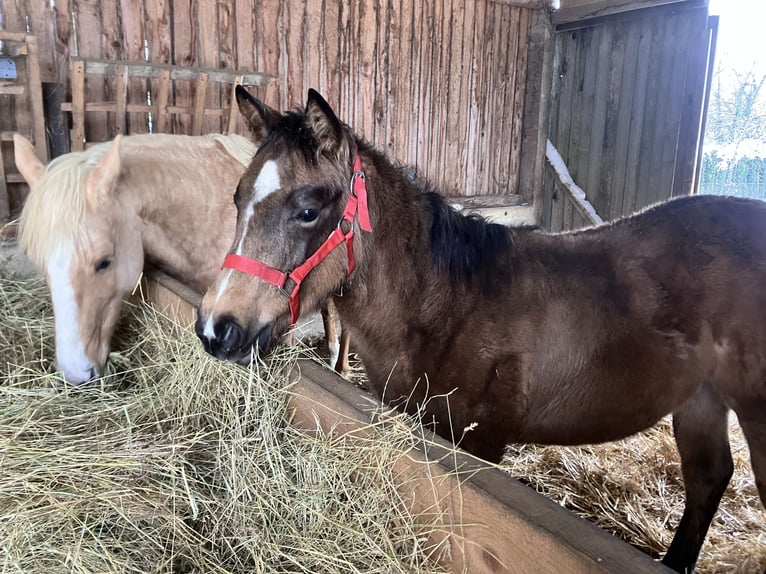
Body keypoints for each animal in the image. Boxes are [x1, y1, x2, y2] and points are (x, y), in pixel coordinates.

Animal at [195, 87, 766, 572]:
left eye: (309, 210)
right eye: (237, 199)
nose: (216, 328)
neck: (447, 304)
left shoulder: (480, 445)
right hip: (700, 398)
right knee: (707, 479)